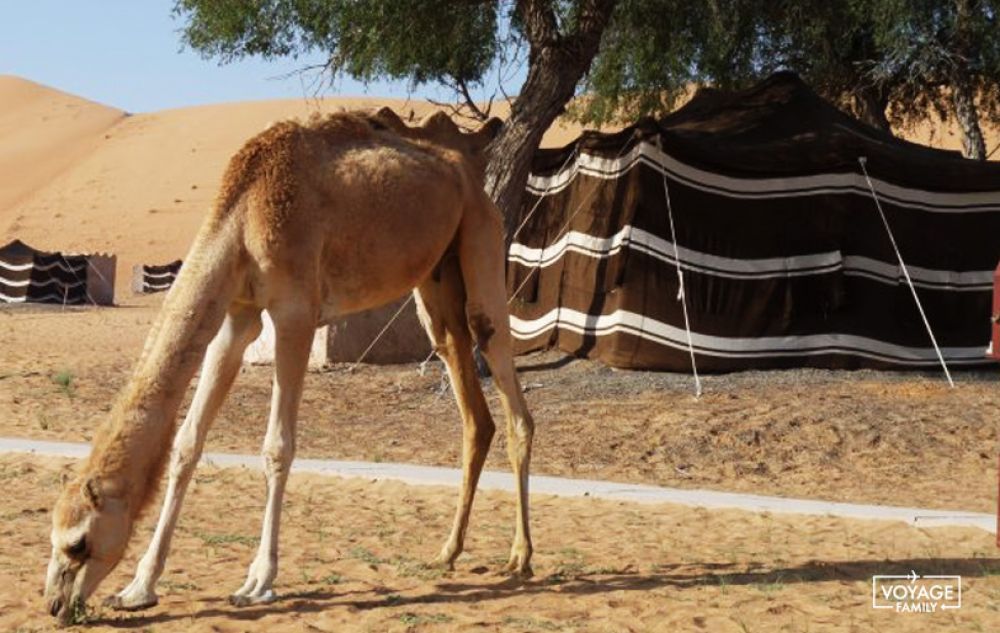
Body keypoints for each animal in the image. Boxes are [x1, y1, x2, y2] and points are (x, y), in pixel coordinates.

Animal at [43, 108, 536, 624]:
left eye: (78, 543)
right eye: (53, 539)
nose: (55, 604)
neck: (244, 213)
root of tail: (468, 173)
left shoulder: (295, 312)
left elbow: (277, 447)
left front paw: (258, 582)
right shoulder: (236, 316)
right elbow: (187, 443)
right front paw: (140, 586)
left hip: (481, 235)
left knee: (498, 354)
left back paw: (521, 557)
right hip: (436, 279)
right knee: (470, 400)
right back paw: (448, 552)